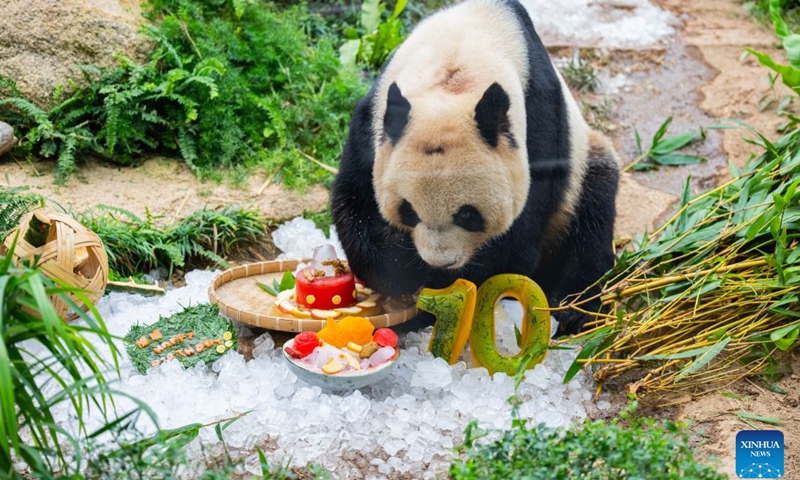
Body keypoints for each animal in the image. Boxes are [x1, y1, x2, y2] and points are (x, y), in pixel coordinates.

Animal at [331, 0, 620, 337]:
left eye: (468, 215)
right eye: (408, 211)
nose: (440, 262)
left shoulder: (540, 123)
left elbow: (516, 238)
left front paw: (436, 286)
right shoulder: (373, 122)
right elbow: (355, 200)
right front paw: (402, 267)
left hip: (583, 167)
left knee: (591, 221)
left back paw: (575, 309)